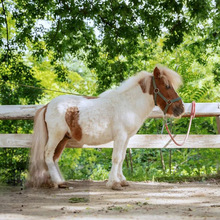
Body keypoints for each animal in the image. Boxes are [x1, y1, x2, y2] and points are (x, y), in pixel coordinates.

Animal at [28, 65, 185, 189]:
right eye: (167, 86)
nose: (181, 109)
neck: (128, 104)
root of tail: (47, 105)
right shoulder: (120, 136)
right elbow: (116, 158)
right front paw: (114, 183)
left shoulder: (126, 138)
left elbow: (122, 157)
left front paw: (122, 180)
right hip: (56, 136)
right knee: (48, 155)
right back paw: (56, 182)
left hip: (63, 138)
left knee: (54, 158)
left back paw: (61, 182)